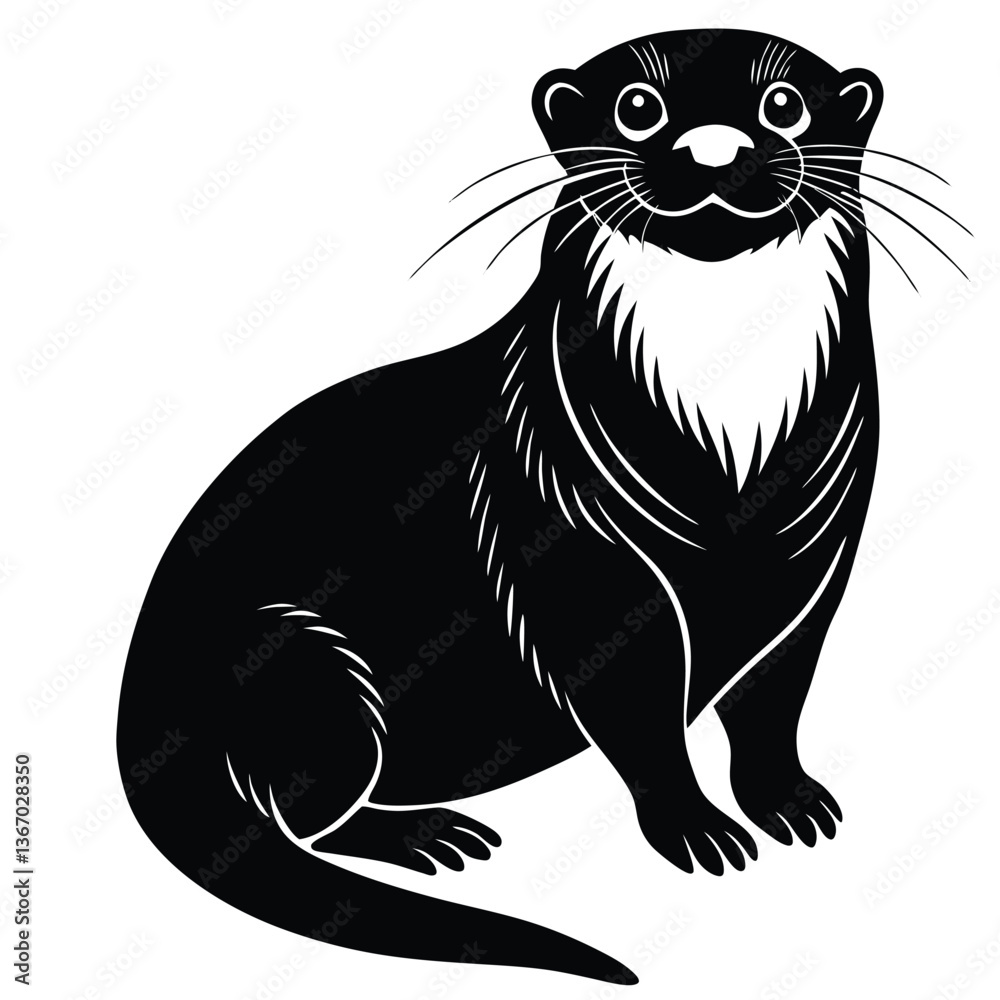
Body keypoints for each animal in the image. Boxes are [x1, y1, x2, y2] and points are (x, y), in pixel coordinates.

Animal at [117, 28, 961, 985]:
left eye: (783, 104)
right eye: (639, 107)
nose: (714, 148)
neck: (728, 438)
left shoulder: (819, 546)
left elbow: (776, 696)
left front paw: (789, 803)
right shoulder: (575, 540)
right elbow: (638, 710)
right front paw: (697, 830)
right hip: (302, 664)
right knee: (306, 815)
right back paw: (423, 836)